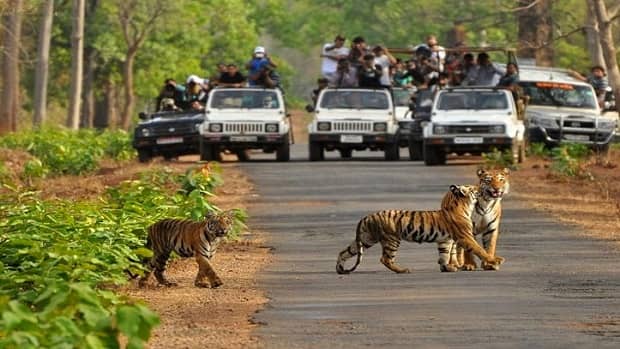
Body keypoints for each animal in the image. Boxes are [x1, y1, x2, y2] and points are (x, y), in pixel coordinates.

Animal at [334, 184, 504, 274]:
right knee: (385, 259)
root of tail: (367, 216)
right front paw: (495, 260)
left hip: (366, 239)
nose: (480, 188)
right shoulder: (465, 236)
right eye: (473, 188)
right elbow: (479, 249)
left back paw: (340, 269)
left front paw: (446, 267)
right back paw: (402, 270)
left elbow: (444, 255)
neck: (463, 206)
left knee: (343, 252)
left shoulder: (445, 240)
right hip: (391, 239)